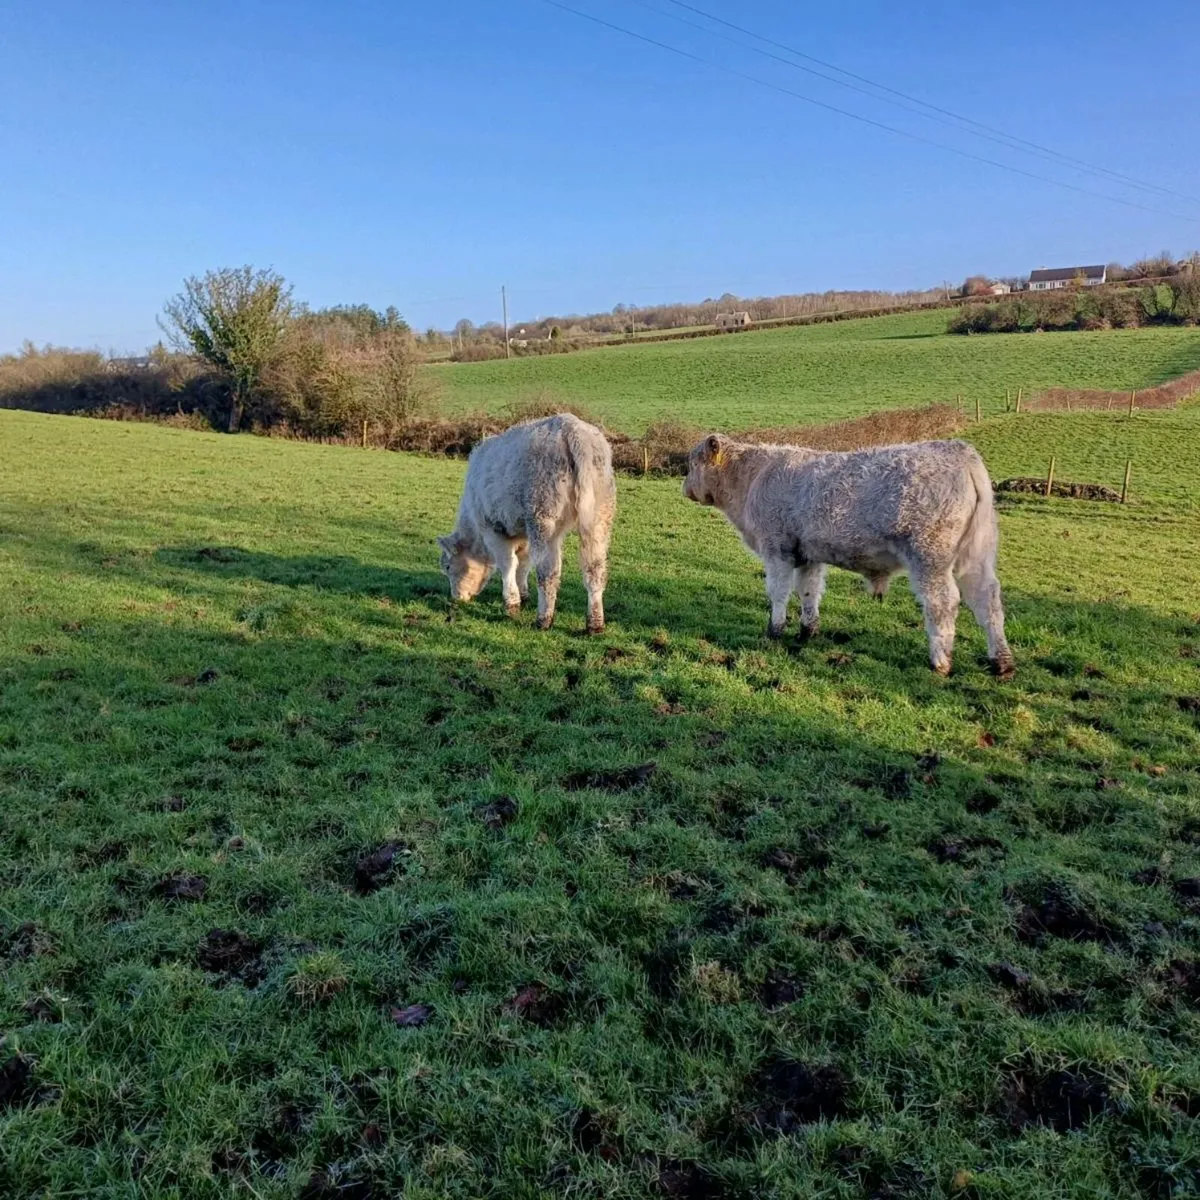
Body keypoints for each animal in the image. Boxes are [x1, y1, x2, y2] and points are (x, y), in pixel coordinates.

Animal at [438, 413, 616, 634]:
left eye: (447, 567)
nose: (456, 598)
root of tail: (572, 428)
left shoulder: (494, 529)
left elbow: (508, 564)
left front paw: (511, 603)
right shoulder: (522, 530)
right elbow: (524, 563)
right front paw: (523, 595)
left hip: (544, 519)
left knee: (548, 572)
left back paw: (543, 620)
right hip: (599, 517)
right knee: (595, 569)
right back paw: (595, 624)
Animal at [683, 434, 1014, 677]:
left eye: (692, 463)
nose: (684, 487)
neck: (752, 478)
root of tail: (959, 450)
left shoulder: (777, 549)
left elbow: (778, 592)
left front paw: (774, 631)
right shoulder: (808, 555)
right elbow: (808, 591)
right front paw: (807, 631)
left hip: (930, 557)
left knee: (942, 603)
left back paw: (940, 662)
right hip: (977, 556)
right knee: (987, 600)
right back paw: (1001, 661)